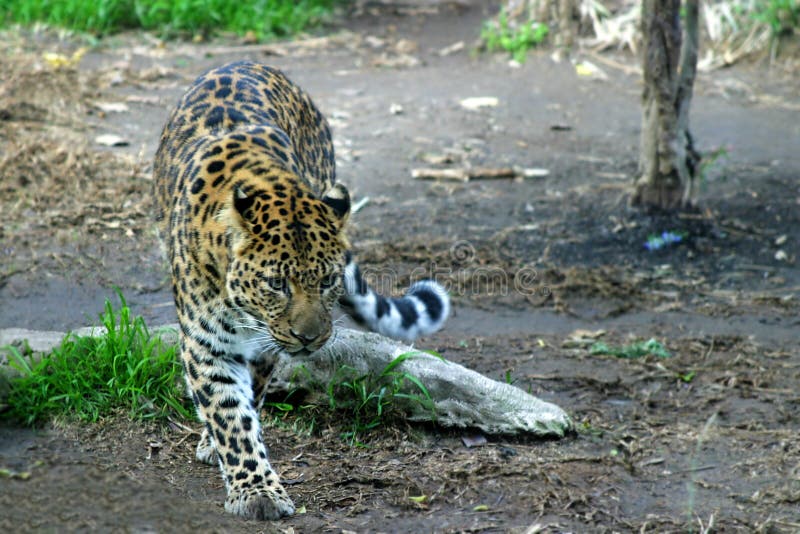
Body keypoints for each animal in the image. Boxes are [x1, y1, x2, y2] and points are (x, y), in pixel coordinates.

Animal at [153, 61, 449, 520]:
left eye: (327, 280)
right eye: (277, 284)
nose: (310, 338)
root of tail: (250, 61)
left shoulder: (263, 347)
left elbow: (248, 399)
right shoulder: (207, 342)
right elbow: (229, 415)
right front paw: (255, 489)